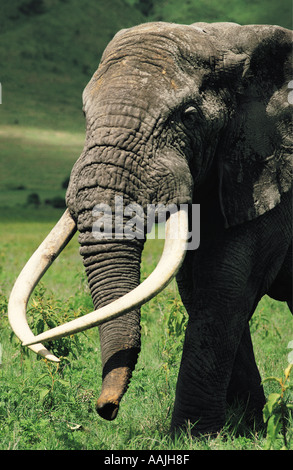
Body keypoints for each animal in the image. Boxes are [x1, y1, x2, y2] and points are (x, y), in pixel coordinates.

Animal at [8, 21, 290, 434]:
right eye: (83, 113)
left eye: (189, 116)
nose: (106, 408)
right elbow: (197, 285)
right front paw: (243, 430)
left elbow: (223, 285)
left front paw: (193, 435)